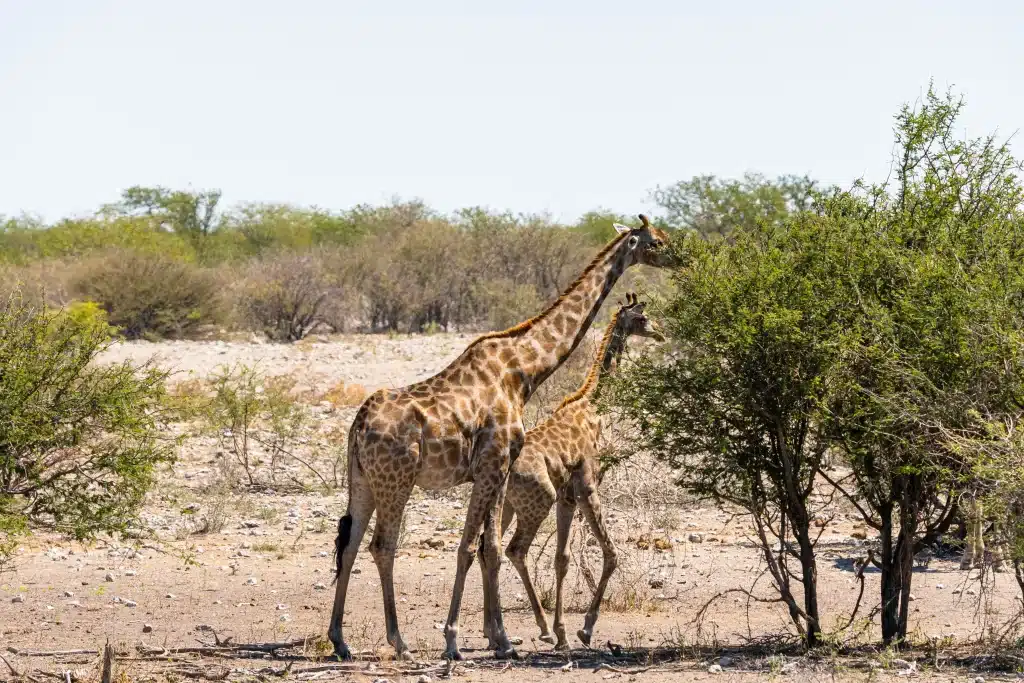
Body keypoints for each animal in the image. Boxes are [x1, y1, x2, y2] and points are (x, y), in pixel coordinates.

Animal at [479, 290, 663, 651]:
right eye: (642, 317)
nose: (660, 333)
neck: (594, 407)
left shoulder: (567, 496)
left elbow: (561, 558)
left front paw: (564, 630)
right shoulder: (587, 487)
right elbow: (611, 553)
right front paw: (583, 629)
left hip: (506, 506)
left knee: (484, 548)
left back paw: (493, 634)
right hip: (537, 501)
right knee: (514, 550)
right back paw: (536, 629)